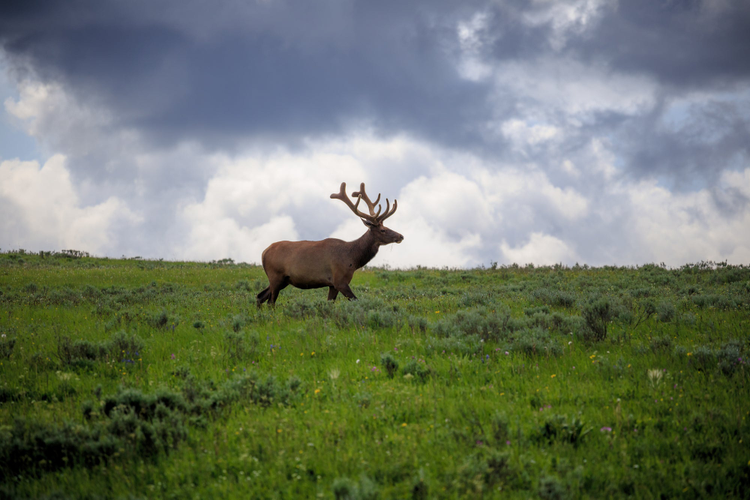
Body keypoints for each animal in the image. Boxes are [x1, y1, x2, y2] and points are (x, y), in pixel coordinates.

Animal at [258, 182, 406, 306]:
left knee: (260, 296)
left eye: (386, 226)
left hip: (283, 280)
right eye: (383, 230)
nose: (401, 236)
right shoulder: (340, 280)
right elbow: (355, 300)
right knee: (270, 302)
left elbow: (330, 303)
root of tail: (264, 252)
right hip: (275, 276)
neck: (353, 259)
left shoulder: (333, 284)